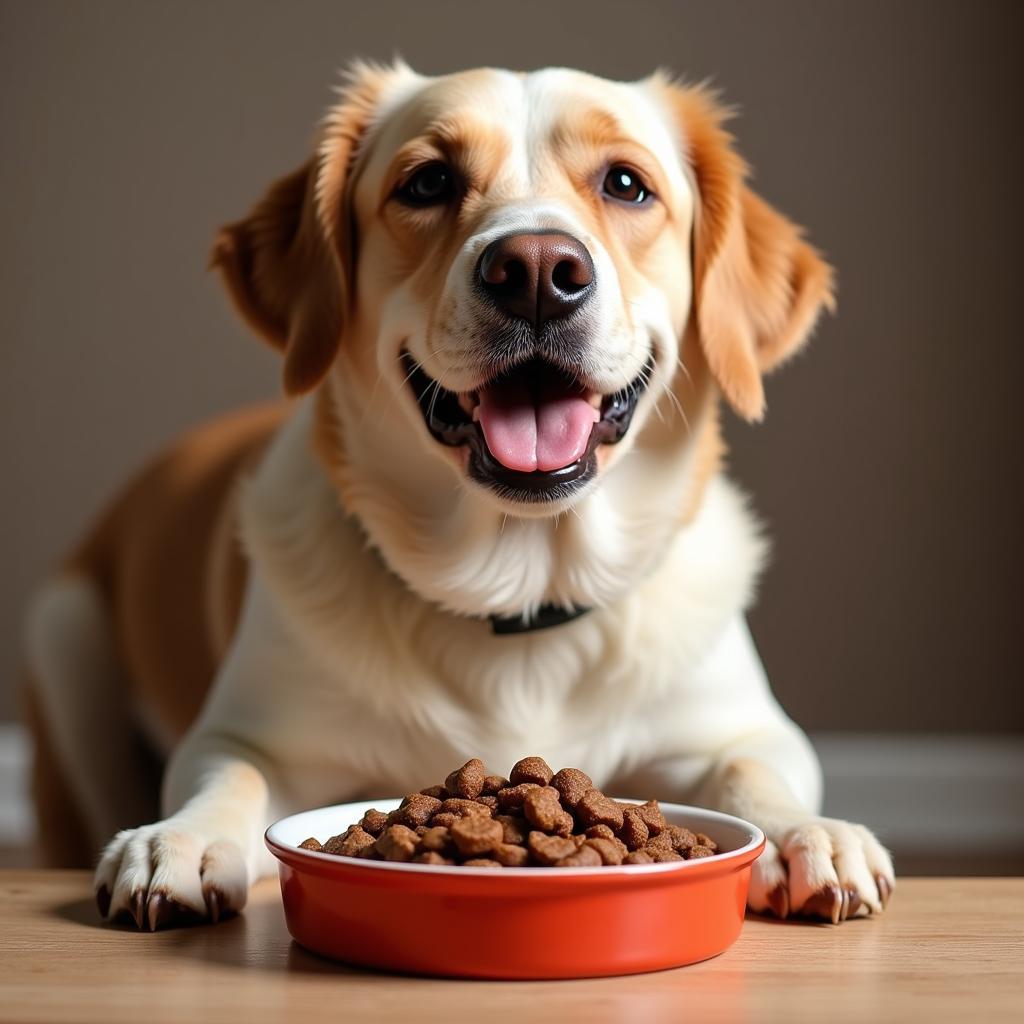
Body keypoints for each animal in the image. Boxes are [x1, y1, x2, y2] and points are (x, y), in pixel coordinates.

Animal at [22, 61, 888, 929]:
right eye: (428, 181)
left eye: (626, 184)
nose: (537, 271)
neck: (519, 596)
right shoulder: (238, 735)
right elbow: (229, 775)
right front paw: (183, 838)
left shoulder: (741, 729)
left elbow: (754, 771)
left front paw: (804, 832)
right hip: (64, 634)